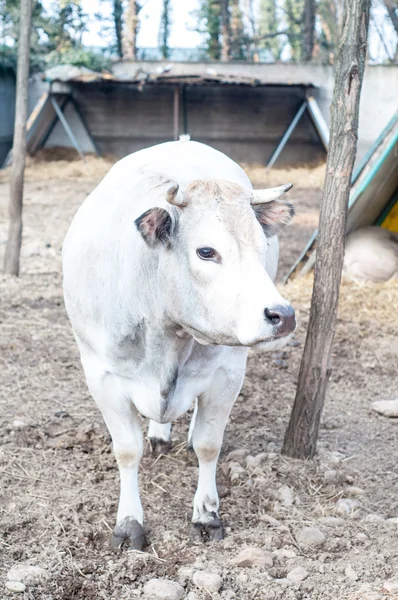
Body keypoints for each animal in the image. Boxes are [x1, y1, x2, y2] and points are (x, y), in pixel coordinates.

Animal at [63, 139, 296, 548]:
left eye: (261, 246)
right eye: (206, 251)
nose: (282, 315)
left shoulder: (227, 372)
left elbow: (208, 443)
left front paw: (207, 514)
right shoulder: (101, 376)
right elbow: (127, 450)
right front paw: (129, 522)